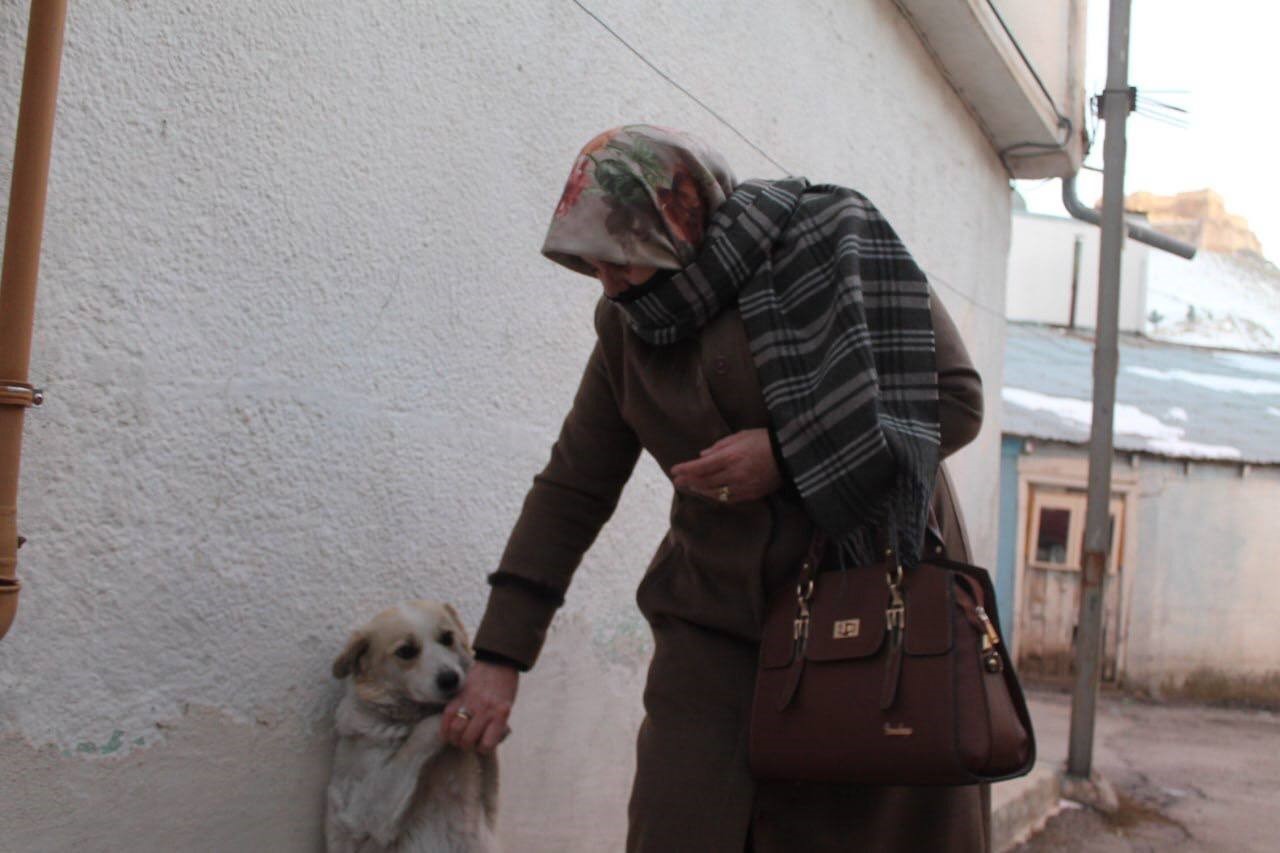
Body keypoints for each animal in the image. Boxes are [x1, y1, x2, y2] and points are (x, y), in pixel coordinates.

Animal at [325, 596, 499, 850]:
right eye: (406, 651)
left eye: (447, 637)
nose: (450, 679)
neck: (410, 717)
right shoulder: (362, 810)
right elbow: (417, 739)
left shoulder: (489, 808)